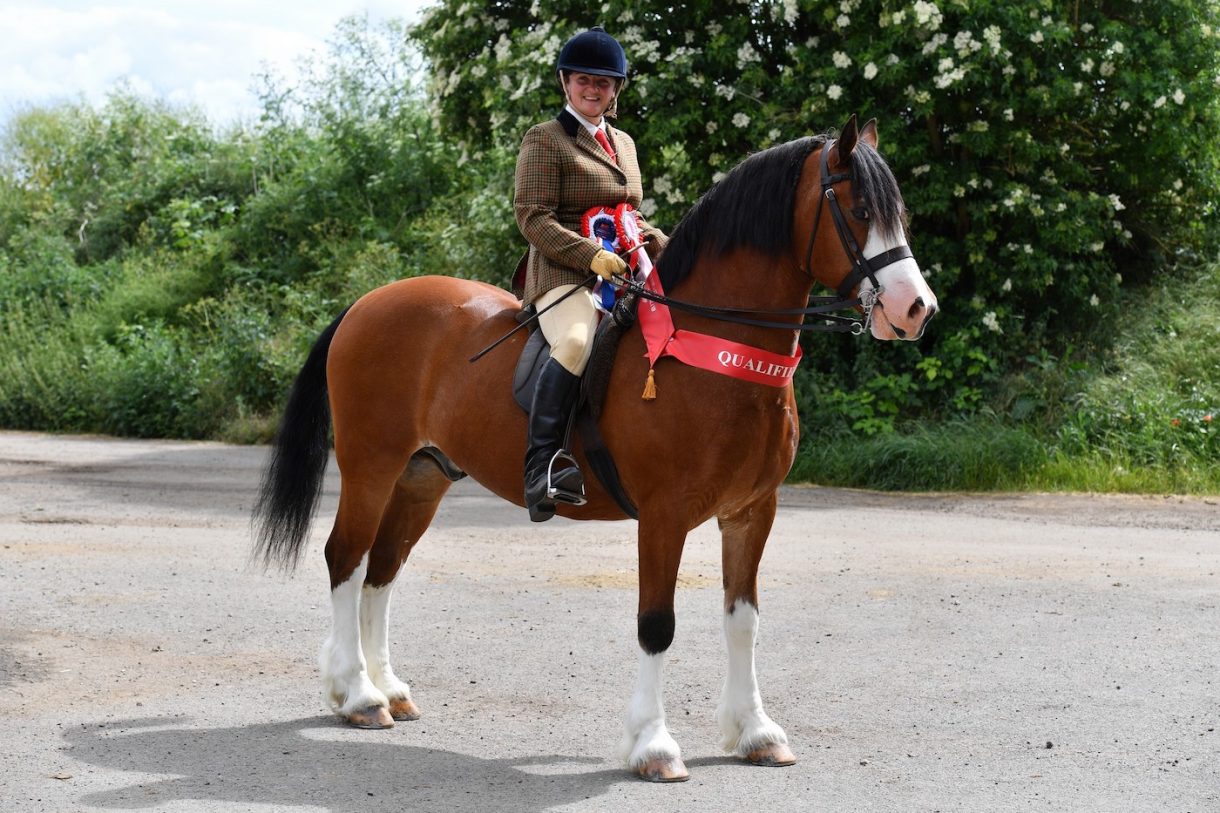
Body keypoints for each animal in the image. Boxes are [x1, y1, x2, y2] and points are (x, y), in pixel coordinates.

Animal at [252, 115, 938, 782]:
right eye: (857, 209)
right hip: (372, 465)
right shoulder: (664, 516)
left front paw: (756, 733)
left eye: (899, 212)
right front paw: (654, 746)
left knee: (382, 569)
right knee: (345, 559)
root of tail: (366, 303)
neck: (716, 352)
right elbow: (656, 625)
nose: (916, 309)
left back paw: (389, 691)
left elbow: (742, 619)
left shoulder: (750, 511)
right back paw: (357, 695)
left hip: (423, 478)